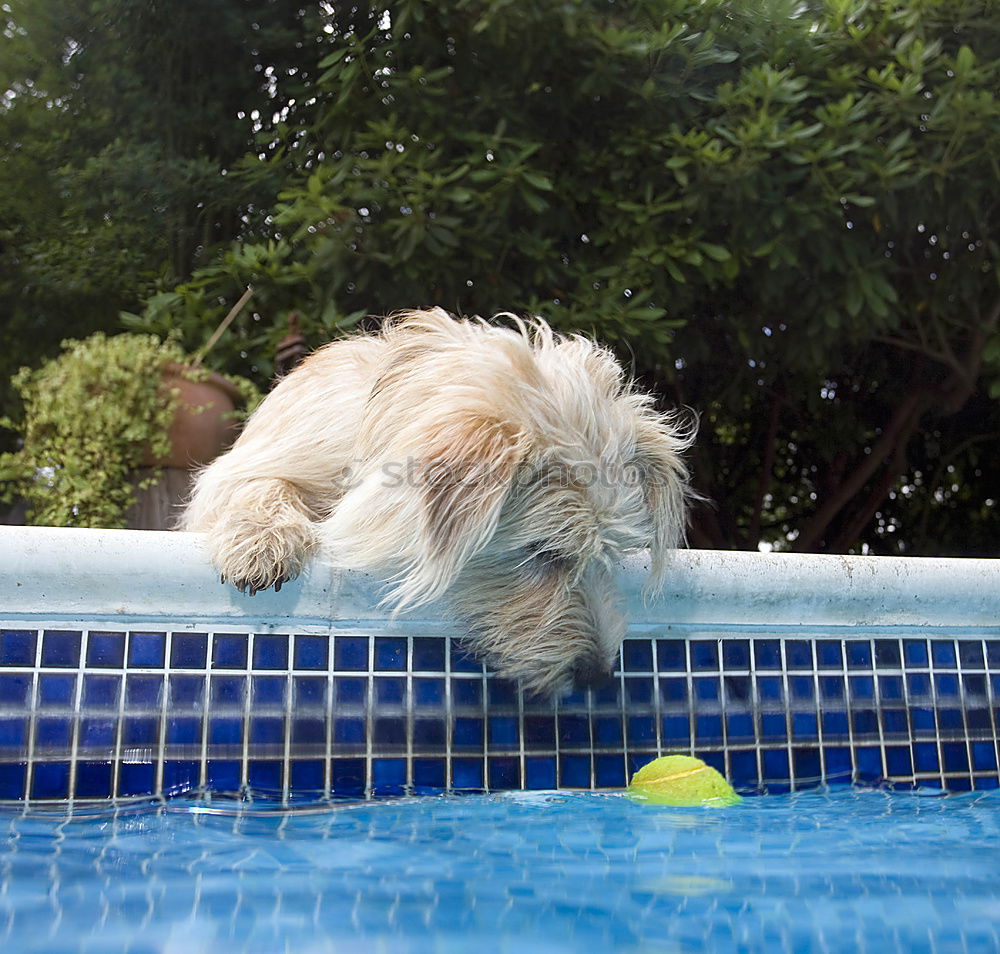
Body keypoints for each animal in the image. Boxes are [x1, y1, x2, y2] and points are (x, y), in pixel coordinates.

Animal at [184, 310, 692, 692]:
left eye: (609, 557)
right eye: (543, 552)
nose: (598, 678)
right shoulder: (254, 463)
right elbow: (259, 483)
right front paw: (260, 540)